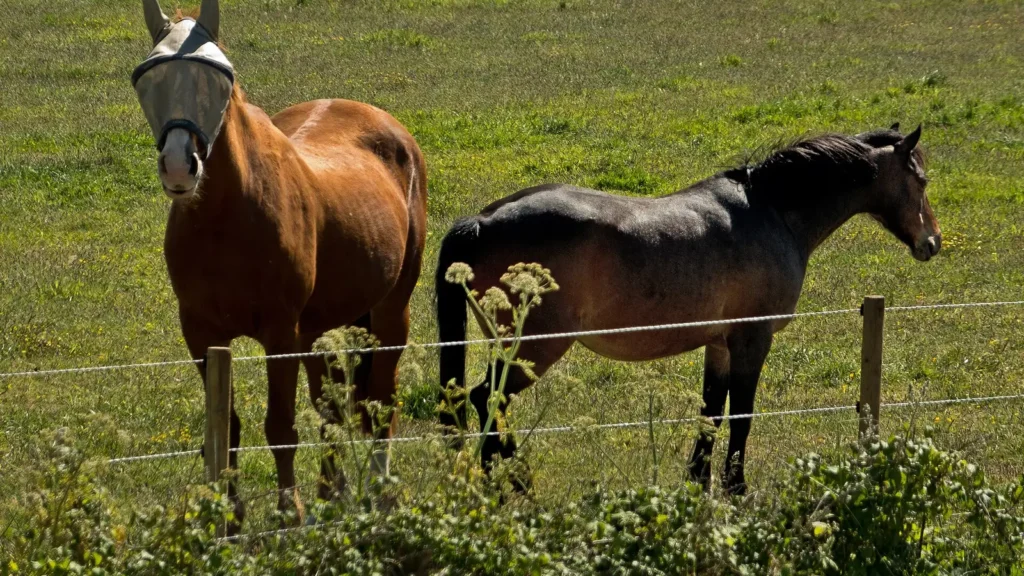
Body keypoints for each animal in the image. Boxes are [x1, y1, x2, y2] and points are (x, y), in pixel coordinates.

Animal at [131, 0, 427, 525]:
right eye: (148, 75)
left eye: (220, 77)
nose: (179, 166)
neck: (226, 218)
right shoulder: (202, 336)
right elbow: (225, 428)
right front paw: (227, 516)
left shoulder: (280, 333)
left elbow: (282, 428)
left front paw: (290, 512)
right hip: (318, 328)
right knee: (331, 406)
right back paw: (334, 492)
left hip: (391, 311)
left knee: (379, 403)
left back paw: (379, 492)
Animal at [435, 124, 939, 495]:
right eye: (922, 180)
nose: (932, 241)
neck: (772, 211)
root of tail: (481, 221)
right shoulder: (752, 340)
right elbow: (741, 415)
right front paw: (736, 487)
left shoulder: (720, 344)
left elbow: (711, 413)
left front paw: (699, 482)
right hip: (534, 349)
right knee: (487, 399)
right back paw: (512, 484)